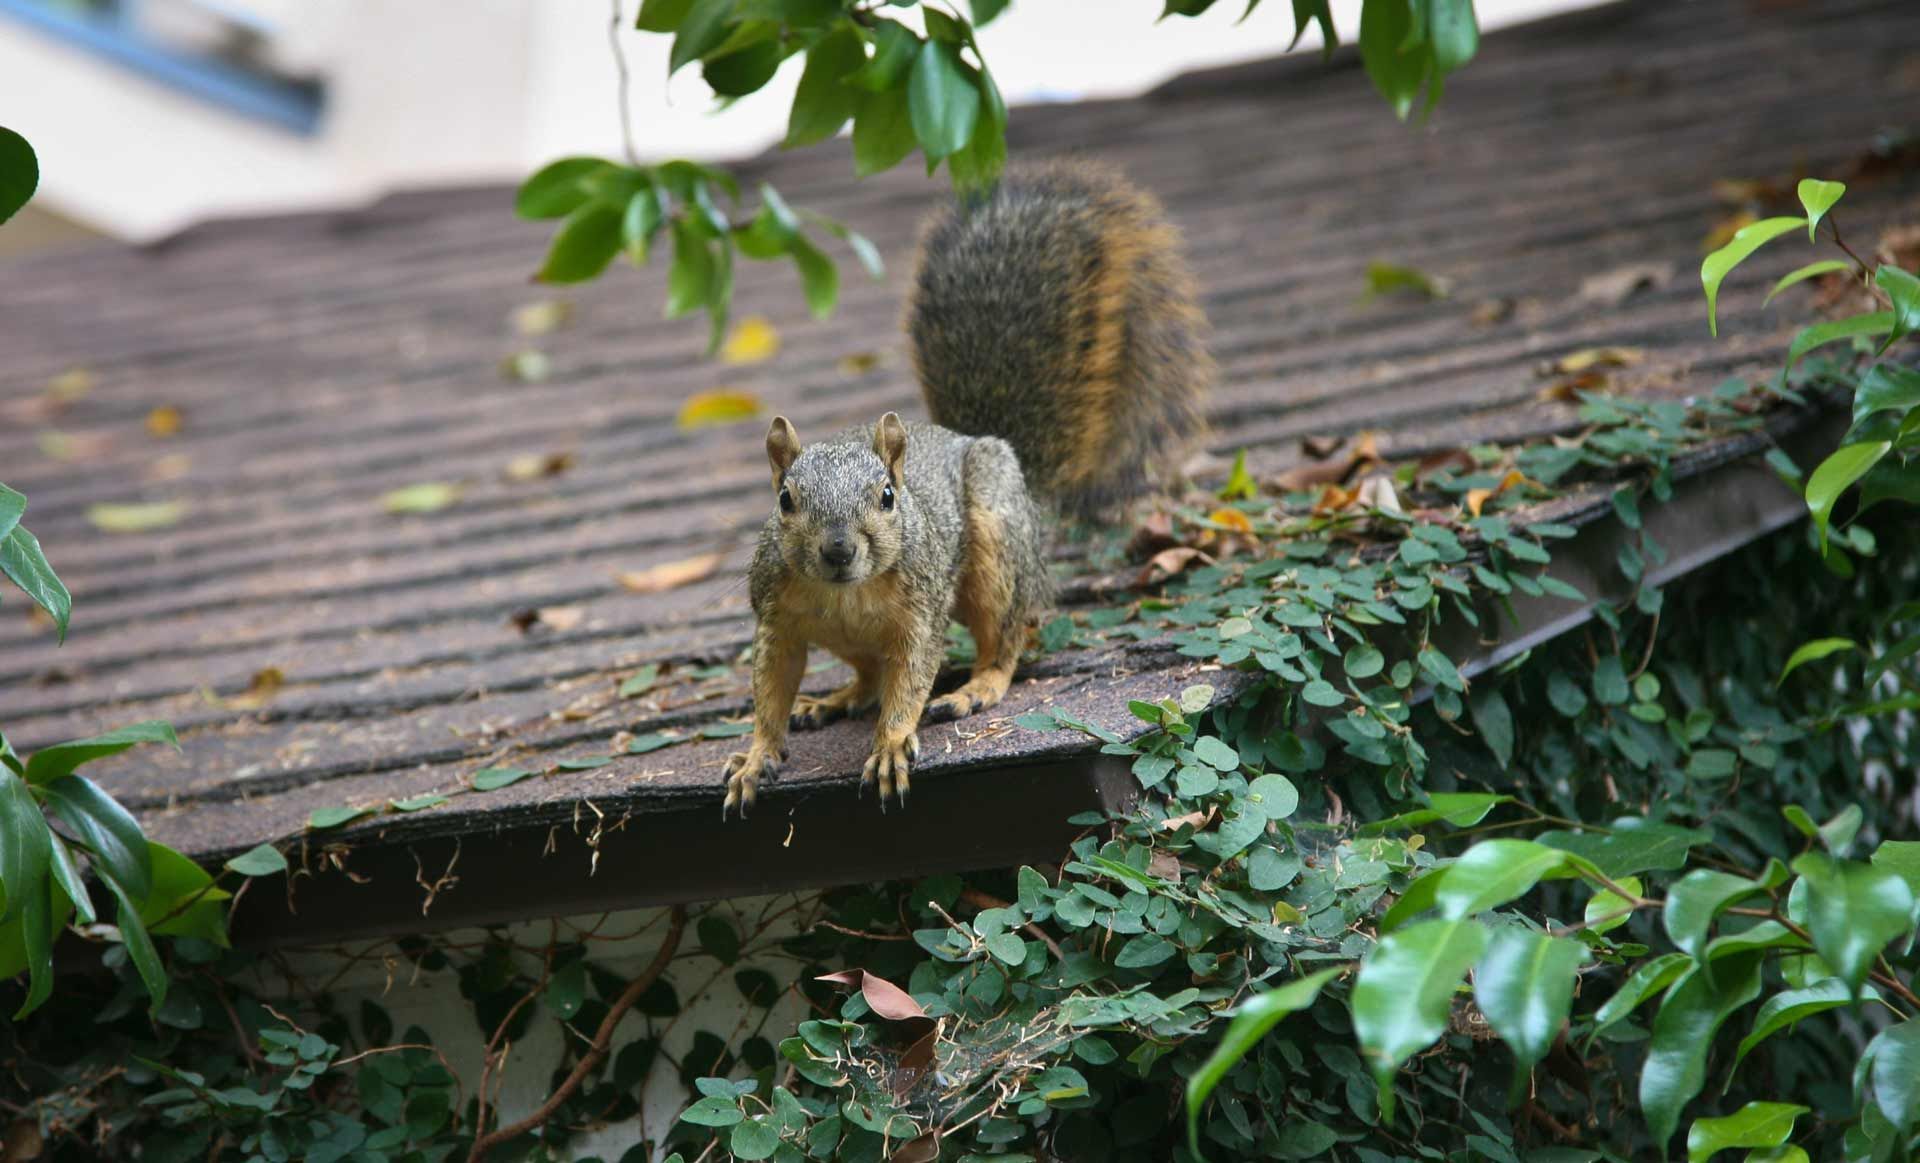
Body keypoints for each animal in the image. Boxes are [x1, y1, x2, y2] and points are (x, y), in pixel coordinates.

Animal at [721, 159, 1213, 817]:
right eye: (784, 501)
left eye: (887, 496)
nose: (838, 550)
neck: (846, 593)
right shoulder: (776, 618)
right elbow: (771, 687)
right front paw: (756, 756)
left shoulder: (921, 614)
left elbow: (910, 680)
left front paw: (891, 745)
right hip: (850, 637)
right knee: (869, 675)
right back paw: (835, 698)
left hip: (996, 549)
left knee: (1004, 640)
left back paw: (976, 688)